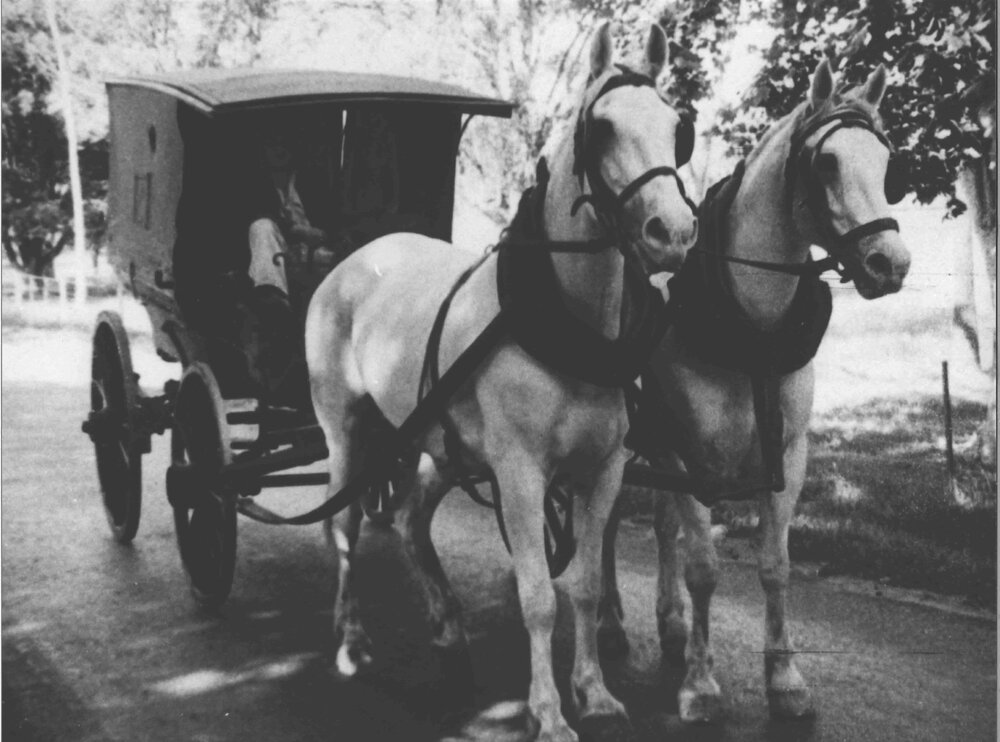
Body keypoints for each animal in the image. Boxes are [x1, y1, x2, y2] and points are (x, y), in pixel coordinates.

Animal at [305, 22, 698, 742]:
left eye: (675, 127)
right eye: (601, 128)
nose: (673, 233)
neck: (565, 323)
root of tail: (353, 260)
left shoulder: (603, 470)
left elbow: (585, 586)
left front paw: (595, 692)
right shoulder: (519, 472)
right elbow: (538, 595)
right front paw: (548, 711)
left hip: (438, 447)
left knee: (409, 521)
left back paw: (446, 625)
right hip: (346, 432)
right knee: (343, 528)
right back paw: (351, 641)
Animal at [597, 58, 912, 723]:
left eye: (886, 164)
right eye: (827, 163)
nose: (891, 263)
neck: (751, 326)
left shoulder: (788, 456)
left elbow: (775, 567)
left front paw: (785, 680)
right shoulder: (692, 458)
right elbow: (704, 568)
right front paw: (700, 684)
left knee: (658, 525)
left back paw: (668, 626)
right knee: (606, 520)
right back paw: (610, 625)